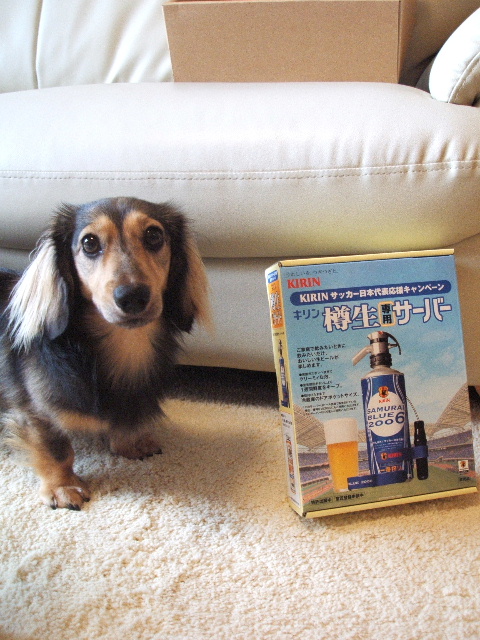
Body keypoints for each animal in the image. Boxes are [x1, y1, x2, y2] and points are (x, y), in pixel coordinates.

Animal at [0, 197, 210, 510]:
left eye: (154, 235)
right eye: (89, 243)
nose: (132, 296)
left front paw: (130, 442)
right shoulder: (34, 410)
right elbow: (56, 448)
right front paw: (63, 486)